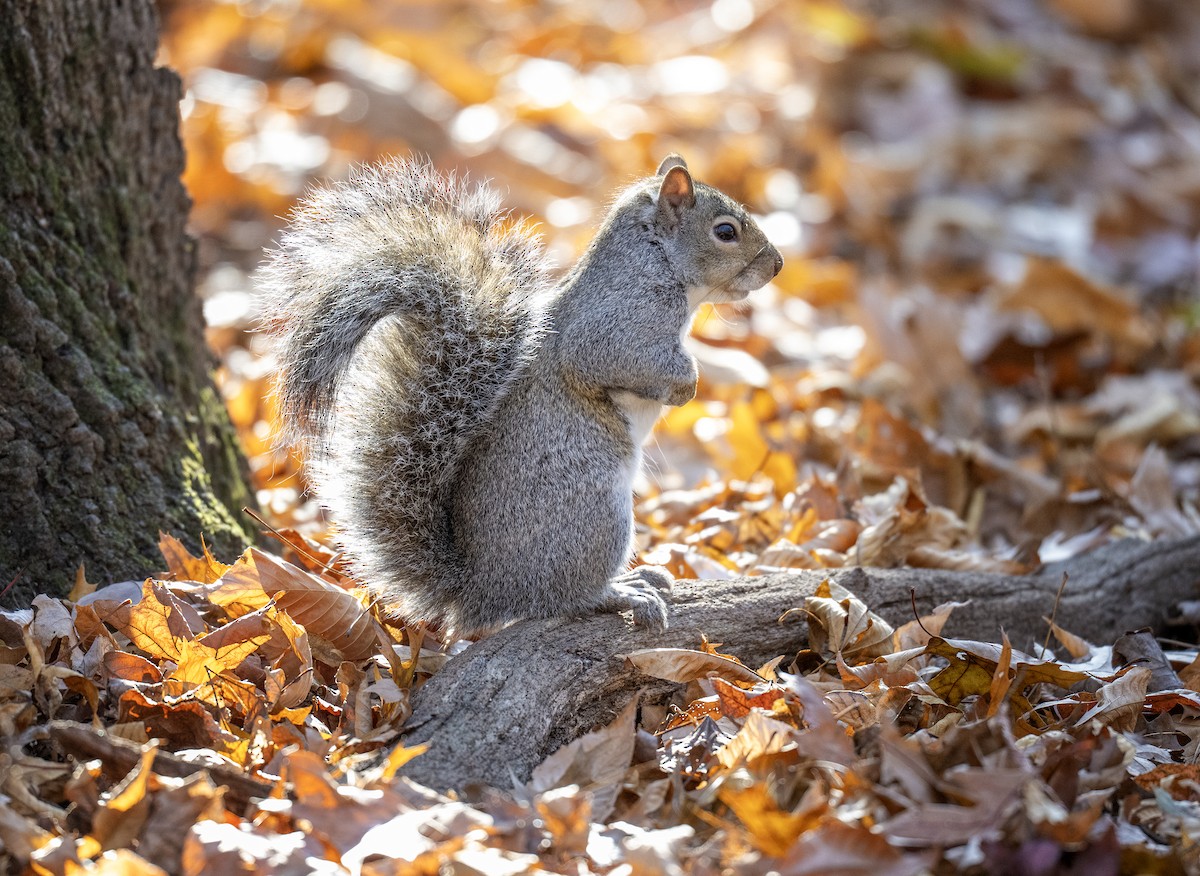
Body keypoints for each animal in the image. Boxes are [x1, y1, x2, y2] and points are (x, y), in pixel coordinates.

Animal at [259, 154, 782, 636]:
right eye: (725, 231)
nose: (777, 265)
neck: (655, 260)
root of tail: (483, 590)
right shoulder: (618, 326)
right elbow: (622, 360)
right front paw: (686, 384)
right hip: (593, 516)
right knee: (565, 598)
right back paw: (622, 592)